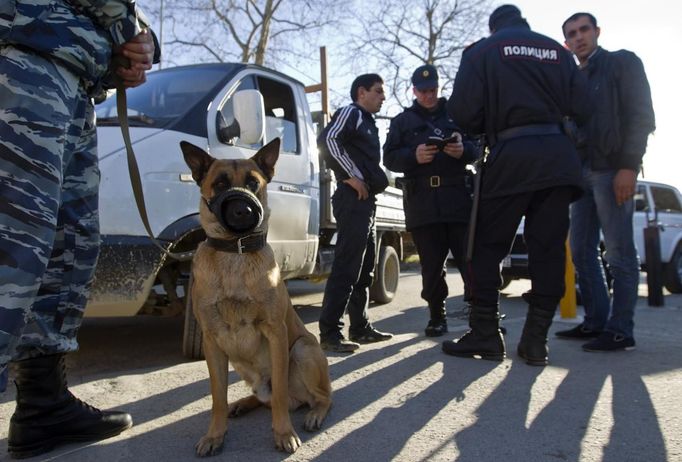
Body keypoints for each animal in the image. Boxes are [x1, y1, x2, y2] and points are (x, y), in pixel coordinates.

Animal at [179, 139, 330, 456]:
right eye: (220, 184)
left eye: (253, 183)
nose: (242, 210)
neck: (235, 253)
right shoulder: (212, 342)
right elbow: (217, 397)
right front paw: (215, 435)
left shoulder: (276, 332)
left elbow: (281, 395)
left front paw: (284, 433)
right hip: (240, 365)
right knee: (263, 399)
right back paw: (242, 404)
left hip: (302, 349)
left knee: (320, 397)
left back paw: (314, 414)